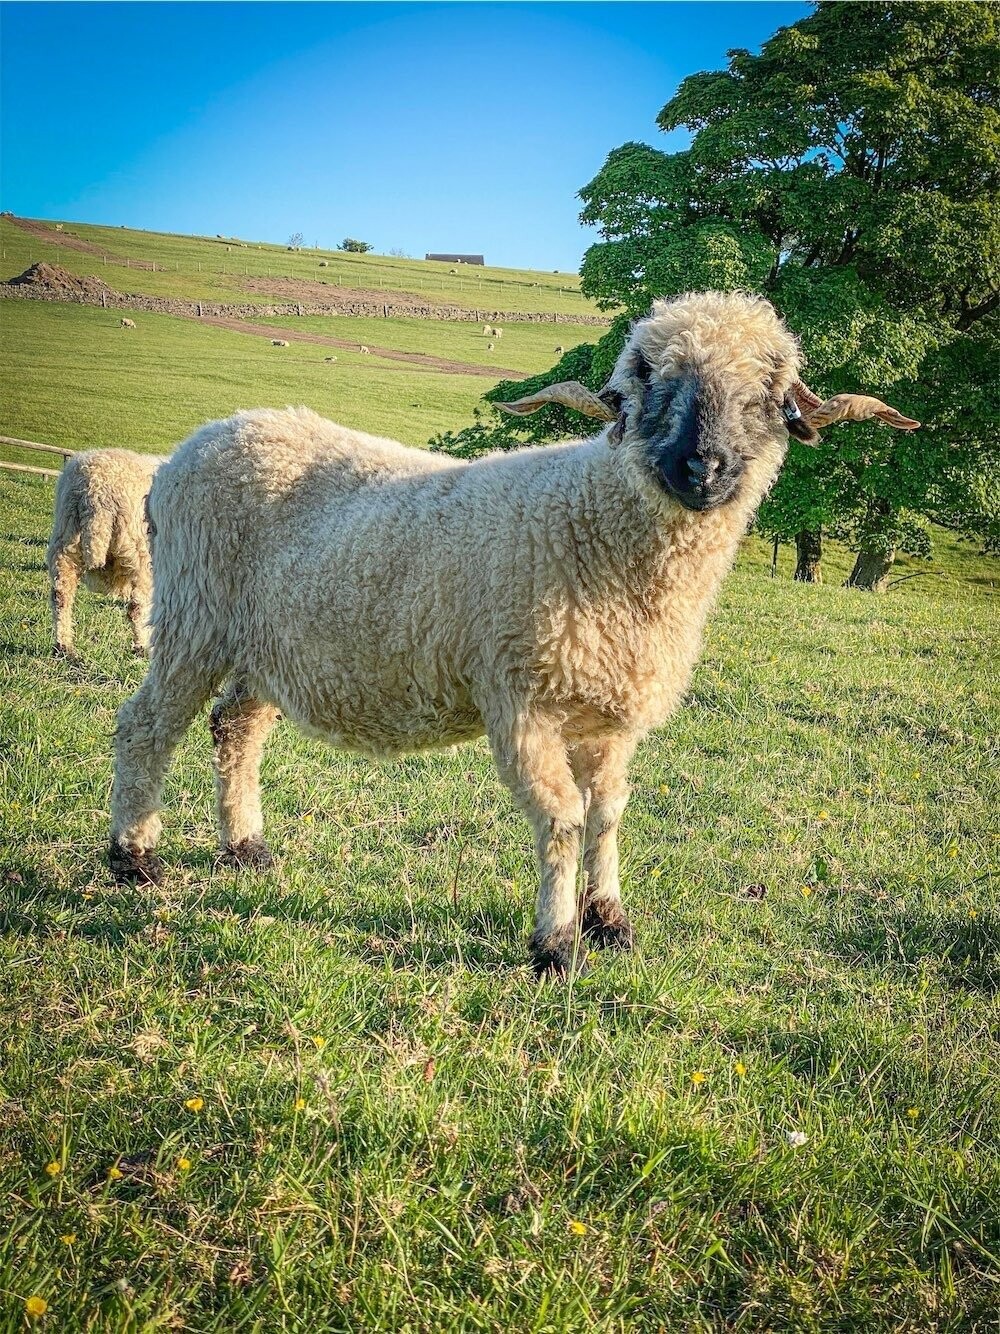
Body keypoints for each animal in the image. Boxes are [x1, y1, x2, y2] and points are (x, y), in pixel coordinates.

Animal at [48, 449, 165, 658]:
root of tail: (96, 488)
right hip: (140, 554)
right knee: (137, 608)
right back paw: (142, 647)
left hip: (65, 539)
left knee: (60, 596)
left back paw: (64, 646)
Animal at [106, 291, 918, 977]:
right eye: (651, 381)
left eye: (764, 395)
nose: (703, 467)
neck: (594, 525)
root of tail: (189, 451)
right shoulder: (521, 700)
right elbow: (561, 821)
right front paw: (556, 945)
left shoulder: (610, 714)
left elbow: (608, 815)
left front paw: (610, 920)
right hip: (194, 613)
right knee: (146, 726)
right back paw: (132, 858)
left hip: (267, 644)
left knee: (234, 727)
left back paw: (246, 849)